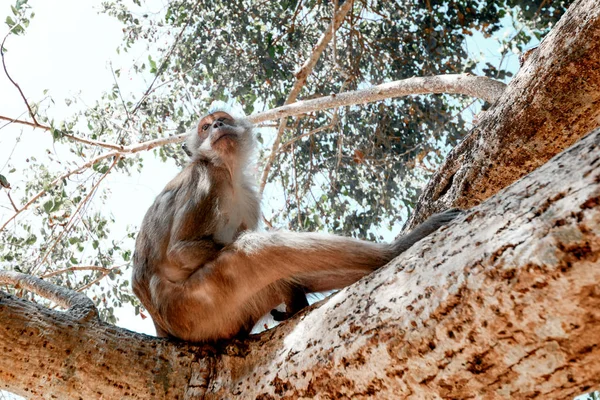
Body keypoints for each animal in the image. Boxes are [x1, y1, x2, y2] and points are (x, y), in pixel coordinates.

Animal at [131, 111, 460, 342]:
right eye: (205, 127)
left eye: (223, 119)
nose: (217, 126)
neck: (228, 170)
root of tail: (164, 328)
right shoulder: (206, 179)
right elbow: (179, 254)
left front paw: (293, 294)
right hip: (194, 309)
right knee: (254, 251)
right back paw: (395, 250)